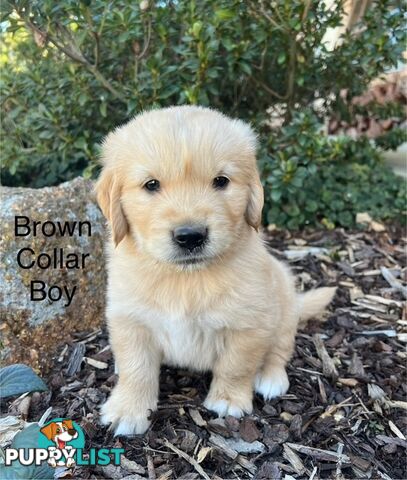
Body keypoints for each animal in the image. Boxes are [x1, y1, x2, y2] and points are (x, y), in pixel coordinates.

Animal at [95, 105, 334, 436]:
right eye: (151, 185)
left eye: (221, 181)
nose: (190, 236)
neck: (185, 278)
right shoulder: (129, 319)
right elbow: (136, 368)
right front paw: (128, 409)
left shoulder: (249, 326)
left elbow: (236, 365)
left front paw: (228, 399)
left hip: (284, 307)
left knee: (279, 350)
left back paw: (271, 378)